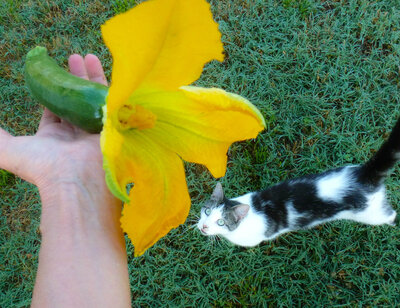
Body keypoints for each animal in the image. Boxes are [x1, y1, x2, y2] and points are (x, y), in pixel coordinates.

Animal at [196, 116, 396, 247]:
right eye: (207, 211)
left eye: (221, 222)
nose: (204, 226)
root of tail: (365, 174)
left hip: (371, 214)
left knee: (391, 214)